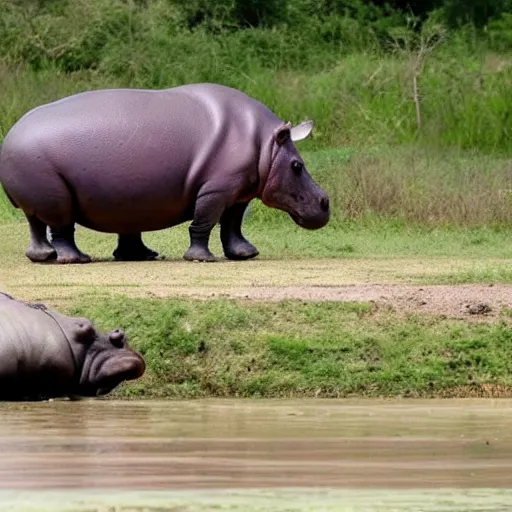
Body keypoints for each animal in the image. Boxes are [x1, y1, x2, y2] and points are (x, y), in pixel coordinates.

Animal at [0, 82, 332, 266]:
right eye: (297, 166)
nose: (325, 202)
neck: (267, 146)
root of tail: (11, 136)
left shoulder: (239, 191)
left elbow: (232, 224)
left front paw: (246, 254)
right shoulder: (216, 189)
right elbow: (206, 221)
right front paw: (202, 260)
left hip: (41, 191)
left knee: (35, 222)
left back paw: (48, 258)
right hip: (51, 189)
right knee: (60, 223)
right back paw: (77, 261)